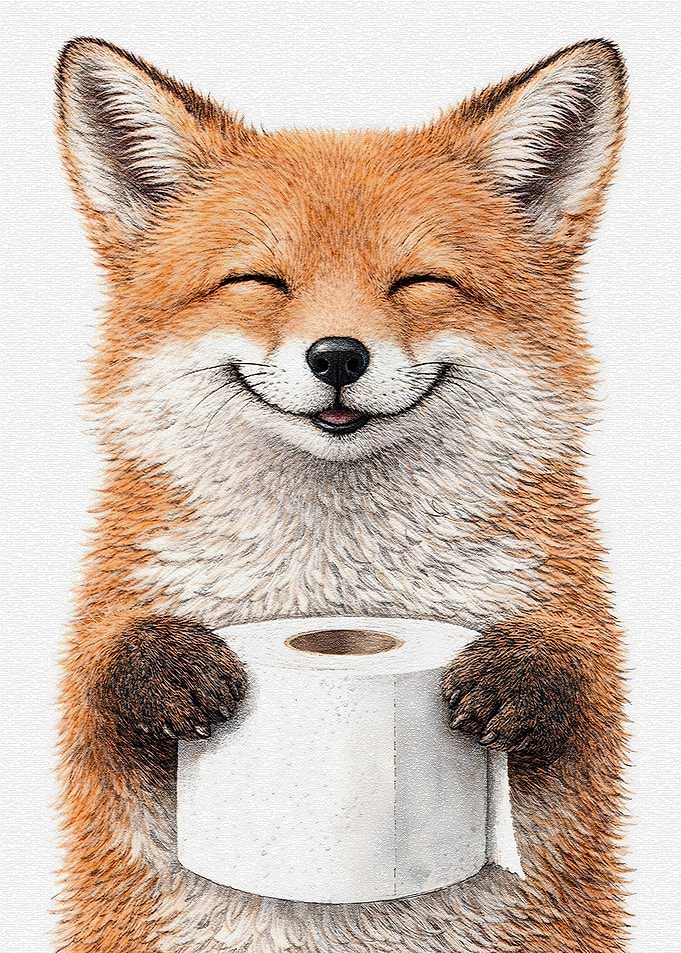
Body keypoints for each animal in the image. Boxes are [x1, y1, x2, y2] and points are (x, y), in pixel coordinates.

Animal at [55, 35, 628, 953]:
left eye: (418, 281)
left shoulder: (575, 666)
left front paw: (525, 672)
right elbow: (96, 685)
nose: (336, 355)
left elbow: (586, 681)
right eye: (258, 280)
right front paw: (162, 665)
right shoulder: (109, 686)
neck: (336, 573)